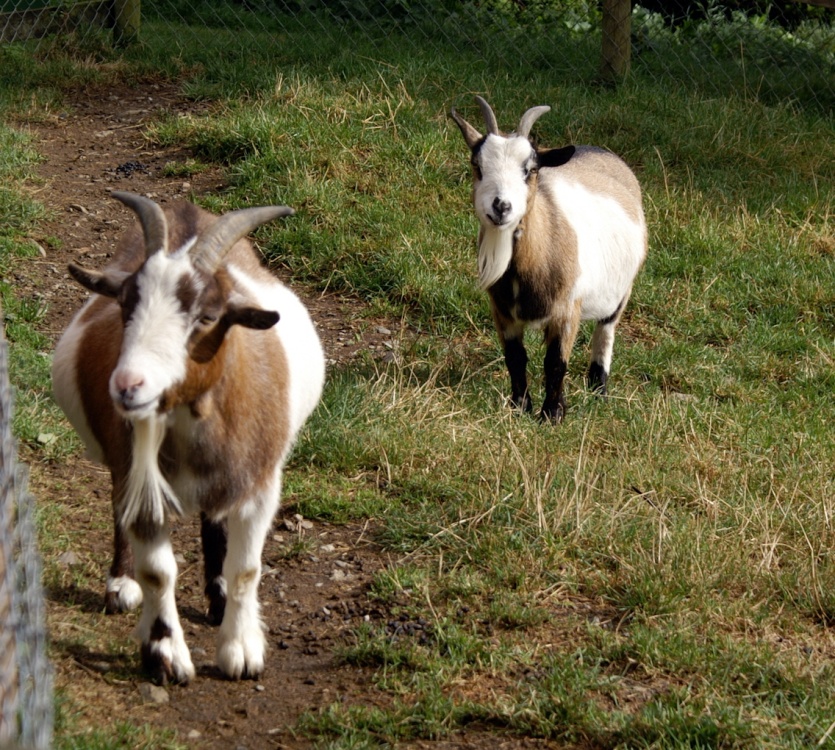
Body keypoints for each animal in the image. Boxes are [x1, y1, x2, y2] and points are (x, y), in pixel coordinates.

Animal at [52, 191, 325, 683]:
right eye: (125, 304)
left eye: (208, 316)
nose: (128, 386)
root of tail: (188, 213)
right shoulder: (139, 480)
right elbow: (158, 573)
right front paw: (165, 654)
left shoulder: (260, 484)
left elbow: (246, 568)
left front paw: (241, 650)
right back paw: (120, 585)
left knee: (214, 518)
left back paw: (217, 598)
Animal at [450, 96, 647, 421]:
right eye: (477, 166)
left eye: (529, 170)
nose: (501, 206)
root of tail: (601, 151)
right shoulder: (501, 310)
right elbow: (515, 358)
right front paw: (519, 406)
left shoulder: (568, 309)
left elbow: (555, 362)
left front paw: (552, 414)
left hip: (622, 291)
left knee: (605, 333)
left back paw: (599, 389)